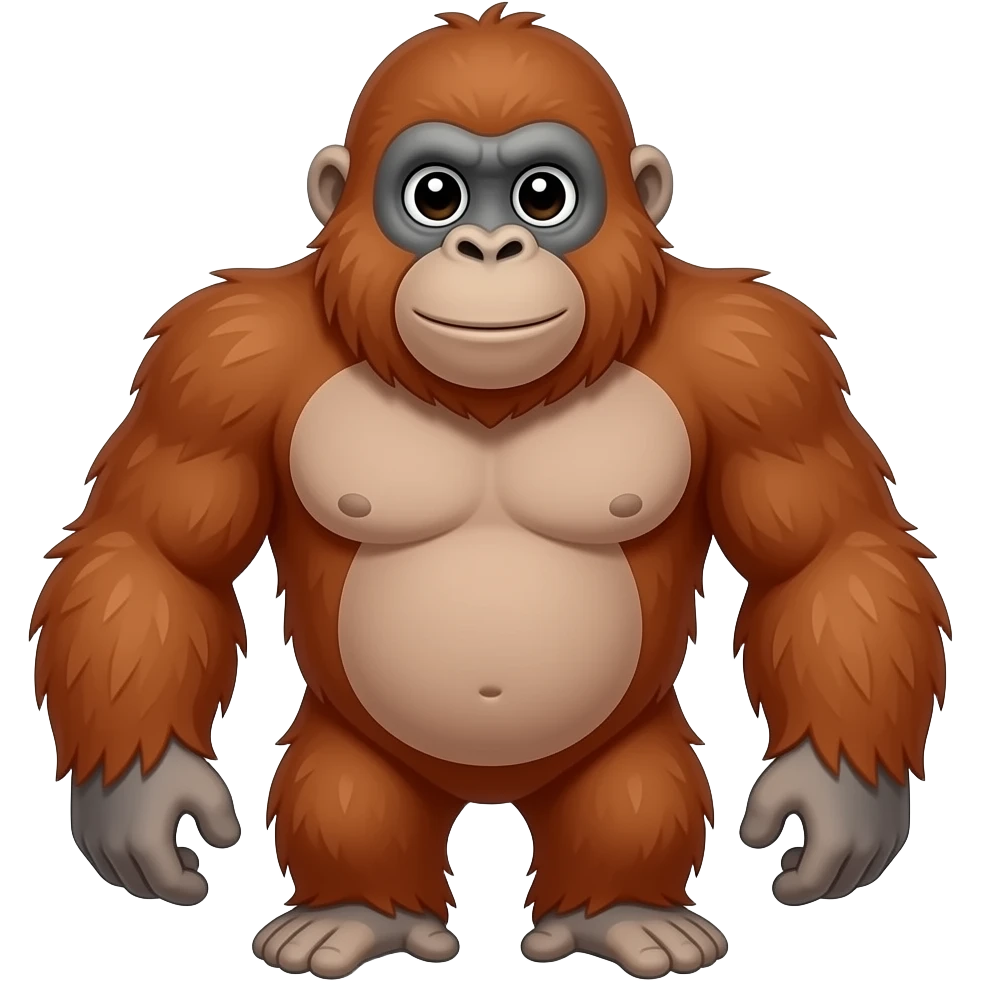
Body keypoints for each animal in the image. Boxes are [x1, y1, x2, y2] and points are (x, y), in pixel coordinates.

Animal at [29, 5, 951, 980]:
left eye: (543, 196)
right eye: (434, 195)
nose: (489, 246)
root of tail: (490, 794)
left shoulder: (759, 357)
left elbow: (823, 553)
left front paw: (838, 793)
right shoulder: (221, 357)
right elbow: (157, 553)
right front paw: (141, 793)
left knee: (630, 792)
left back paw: (622, 913)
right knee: (348, 792)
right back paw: (357, 913)